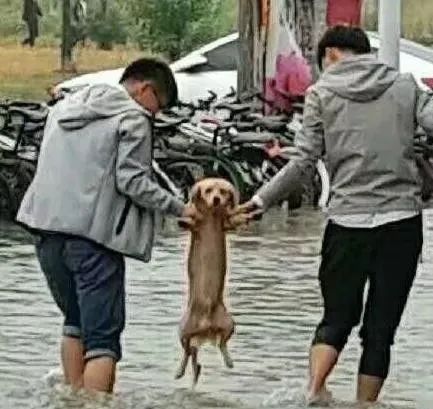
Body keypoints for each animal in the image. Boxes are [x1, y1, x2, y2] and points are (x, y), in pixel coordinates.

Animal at [175, 177, 245, 384]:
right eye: (208, 190)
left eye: (222, 191)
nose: (216, 199)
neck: (212, 215)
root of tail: (205, 326)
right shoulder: (196, 224)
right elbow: (190, 221)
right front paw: (184, 218)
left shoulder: (225, 224)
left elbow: (232, 220)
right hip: (183, 329)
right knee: (187, 352)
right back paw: (180, 371)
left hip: (229, 324)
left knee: (218, 345)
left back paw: (227, 361)